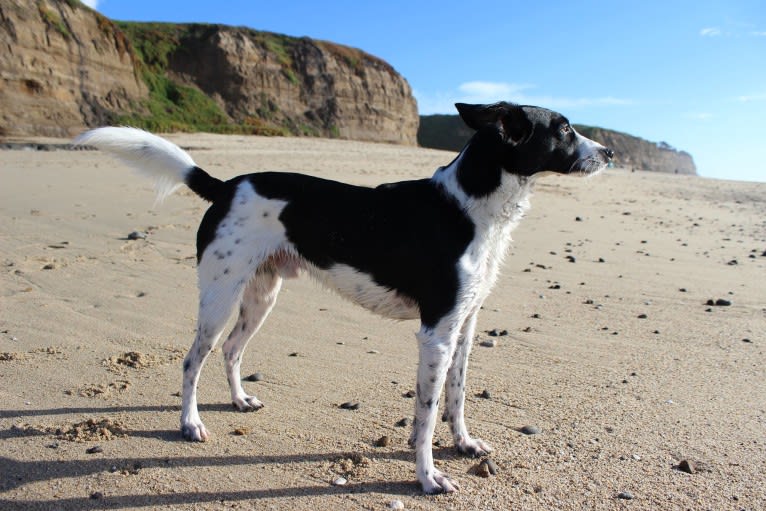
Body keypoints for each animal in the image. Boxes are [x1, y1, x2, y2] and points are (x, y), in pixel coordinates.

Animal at [75, 102, 616, 494]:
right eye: (564, 129)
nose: (611, 152)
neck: (468, 206)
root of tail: (225, 185)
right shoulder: (436, 334)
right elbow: (426, 415)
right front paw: (427, 477)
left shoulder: (464, 327)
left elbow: (455, 397)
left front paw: (462, 444)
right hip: (219, 295)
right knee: (193, 360)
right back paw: (190, 423)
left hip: (261, 295)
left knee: (231, 350)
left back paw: (240, 401)